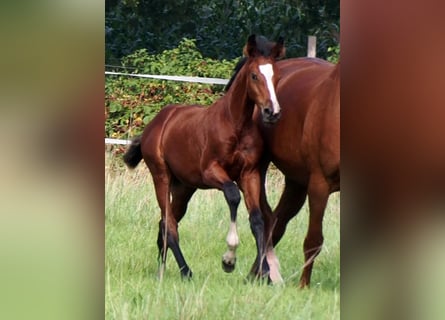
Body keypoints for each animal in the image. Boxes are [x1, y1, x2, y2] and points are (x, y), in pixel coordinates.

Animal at [121, 33, 284, 282]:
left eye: (276, 75)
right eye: (254, 76)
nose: (271, 112)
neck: (235, 124)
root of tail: (156, 124)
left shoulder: (250, 174)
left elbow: (257, 219)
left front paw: (264, 273)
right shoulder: (211, 172)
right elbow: (233, 196)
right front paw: (229, 260)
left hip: (183, 188)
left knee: (165, 223)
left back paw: (161, 271)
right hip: (161, 177)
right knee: (169, 225)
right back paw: (185, 271)